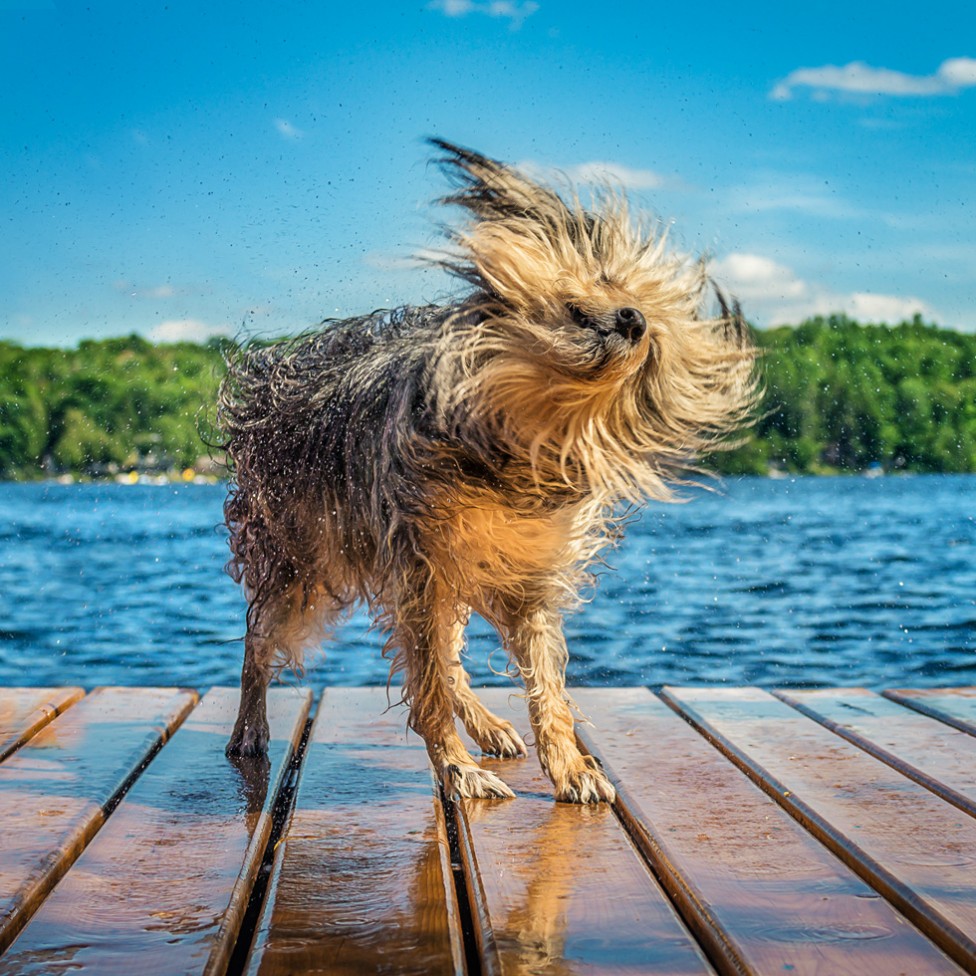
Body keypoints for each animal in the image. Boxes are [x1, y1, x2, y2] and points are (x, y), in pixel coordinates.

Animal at [217, 141, 760, 804]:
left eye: (628, 300)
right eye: (583, 305)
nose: (636, 320)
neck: (517, 438)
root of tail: (276, 368)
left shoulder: (523, 574)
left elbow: (541, 686)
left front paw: (568, 765)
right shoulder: (418, 568)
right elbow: (426, 683)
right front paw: (455, 767)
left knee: (448, 661)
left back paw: (488, 725)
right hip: (302, 561)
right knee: (262, 639)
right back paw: (249, 727)